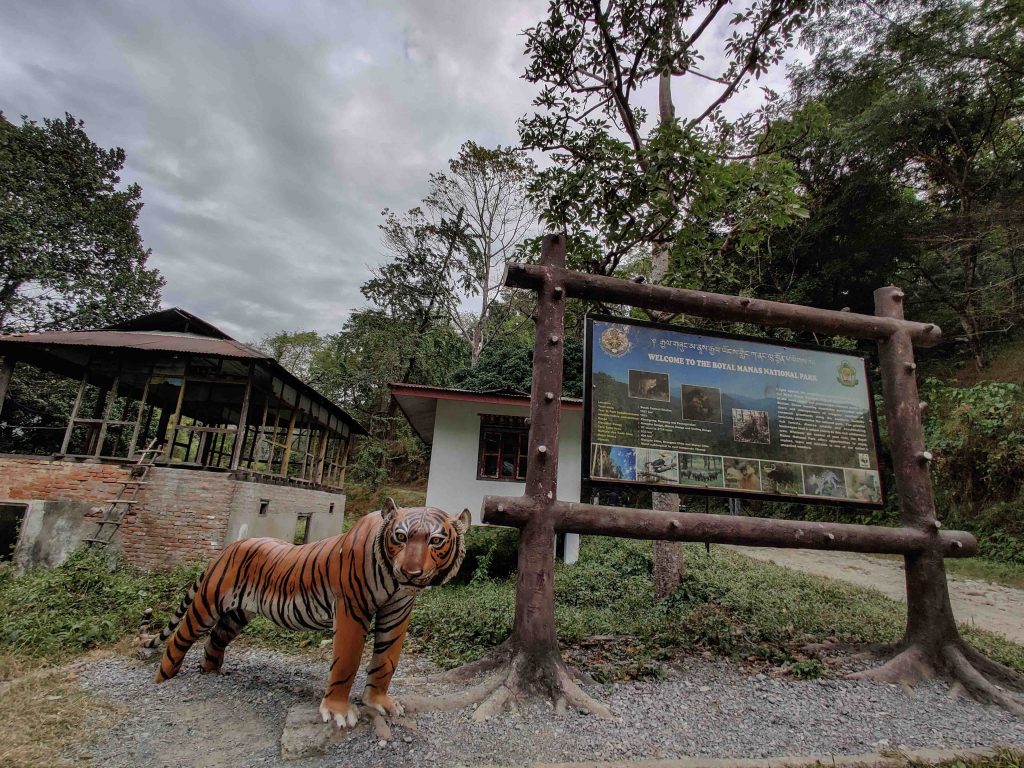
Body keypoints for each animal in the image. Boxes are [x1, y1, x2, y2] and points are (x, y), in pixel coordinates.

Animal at [144, 501, 471, 729]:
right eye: (400, 537)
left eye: (436, 540)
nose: (410, 572)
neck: (394, 583)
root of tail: (229, 547)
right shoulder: (352, 608)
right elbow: (346, 661)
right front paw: (339, 712)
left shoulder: (397, 612)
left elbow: (386, 661)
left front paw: (380, 703)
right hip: (207, 603)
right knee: (179, 638)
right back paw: (163, 681)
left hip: (238, 613)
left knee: (215, 641)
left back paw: (211, 674)